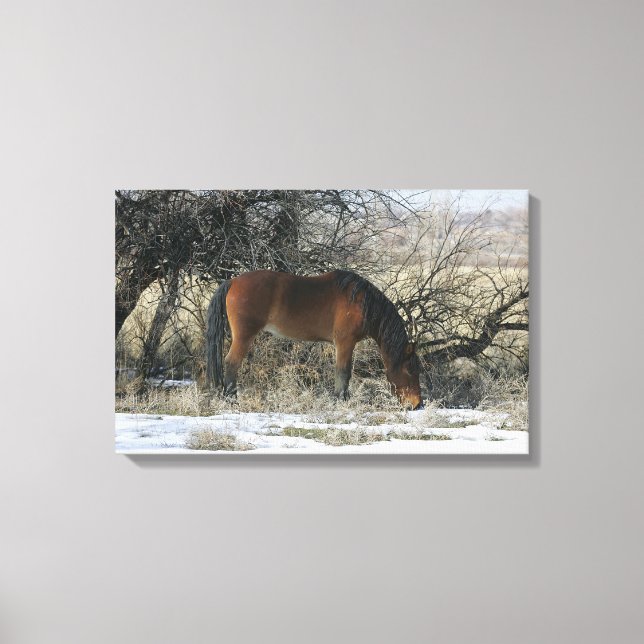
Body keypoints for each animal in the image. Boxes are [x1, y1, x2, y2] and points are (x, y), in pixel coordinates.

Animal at [205, 270, 423, 409]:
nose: (417, 404)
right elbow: (343, 373)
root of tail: (233, 282)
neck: (362, 302)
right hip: (244, 336)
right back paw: (231, 399)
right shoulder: (345, 342)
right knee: (232, 363)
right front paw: (341, 400)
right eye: (410, 369)